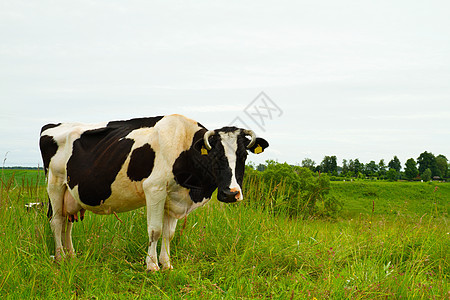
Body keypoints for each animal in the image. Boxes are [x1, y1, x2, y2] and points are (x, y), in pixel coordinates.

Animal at [39, 113, 268, 270]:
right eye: (214, 155)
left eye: (244, 156)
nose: (231, 194)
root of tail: (52, 125)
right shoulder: (155, 189)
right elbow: (155, 230)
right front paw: (152, 266)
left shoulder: (173, 197)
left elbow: (169, 233)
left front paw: (167, 265)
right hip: (55, 184)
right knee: (57, 221)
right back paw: (60, 257)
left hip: (71, 194)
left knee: (68, 223)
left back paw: (71, 256)